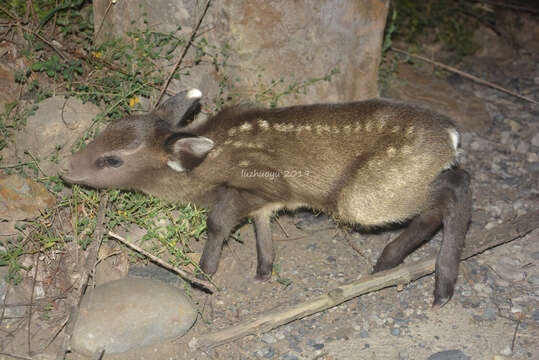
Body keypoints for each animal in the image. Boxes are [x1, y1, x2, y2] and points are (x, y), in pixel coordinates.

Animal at [60, 90, 472, 306]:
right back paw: (388, 263)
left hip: (367, 196)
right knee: (441, 201)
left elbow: (217, 222)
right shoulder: (264, 203)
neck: (205, 167)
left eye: (112, 159)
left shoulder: (260, 185)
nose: (66, 167)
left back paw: (440, 287)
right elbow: (261, 229)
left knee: (456, 187)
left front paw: (203, 276)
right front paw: (263, 270)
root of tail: (452, 135)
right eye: (105, 129)